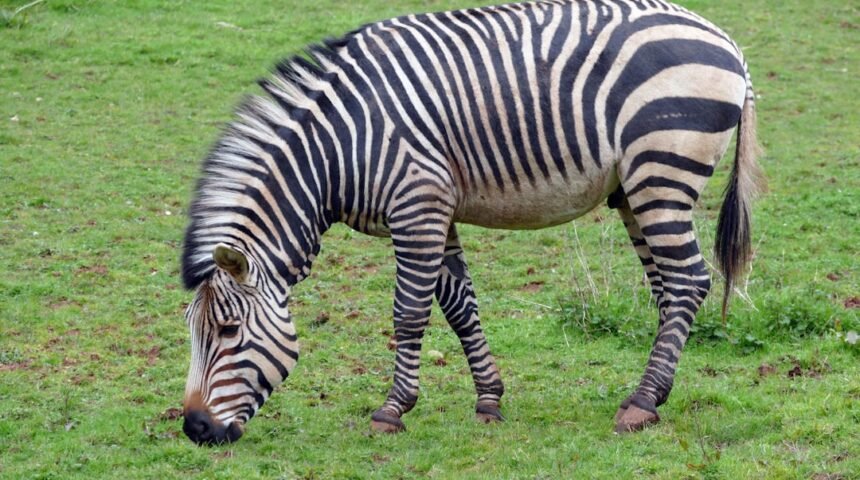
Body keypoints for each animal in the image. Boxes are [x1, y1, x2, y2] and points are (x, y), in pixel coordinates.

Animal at [179, 0, 764, 444]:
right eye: (193, 330)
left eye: (228, 331)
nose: (195, 430)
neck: (337, 148)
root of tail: (726, 40)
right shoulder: (436, 211)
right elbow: (460, 308)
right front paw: (489, 400)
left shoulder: (417, 206)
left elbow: (410, 313)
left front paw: (392, 410)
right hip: (635, 188)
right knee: (667, 288)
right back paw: (657, 394)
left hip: (661, 171)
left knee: (688, 281)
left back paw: (641, 403)